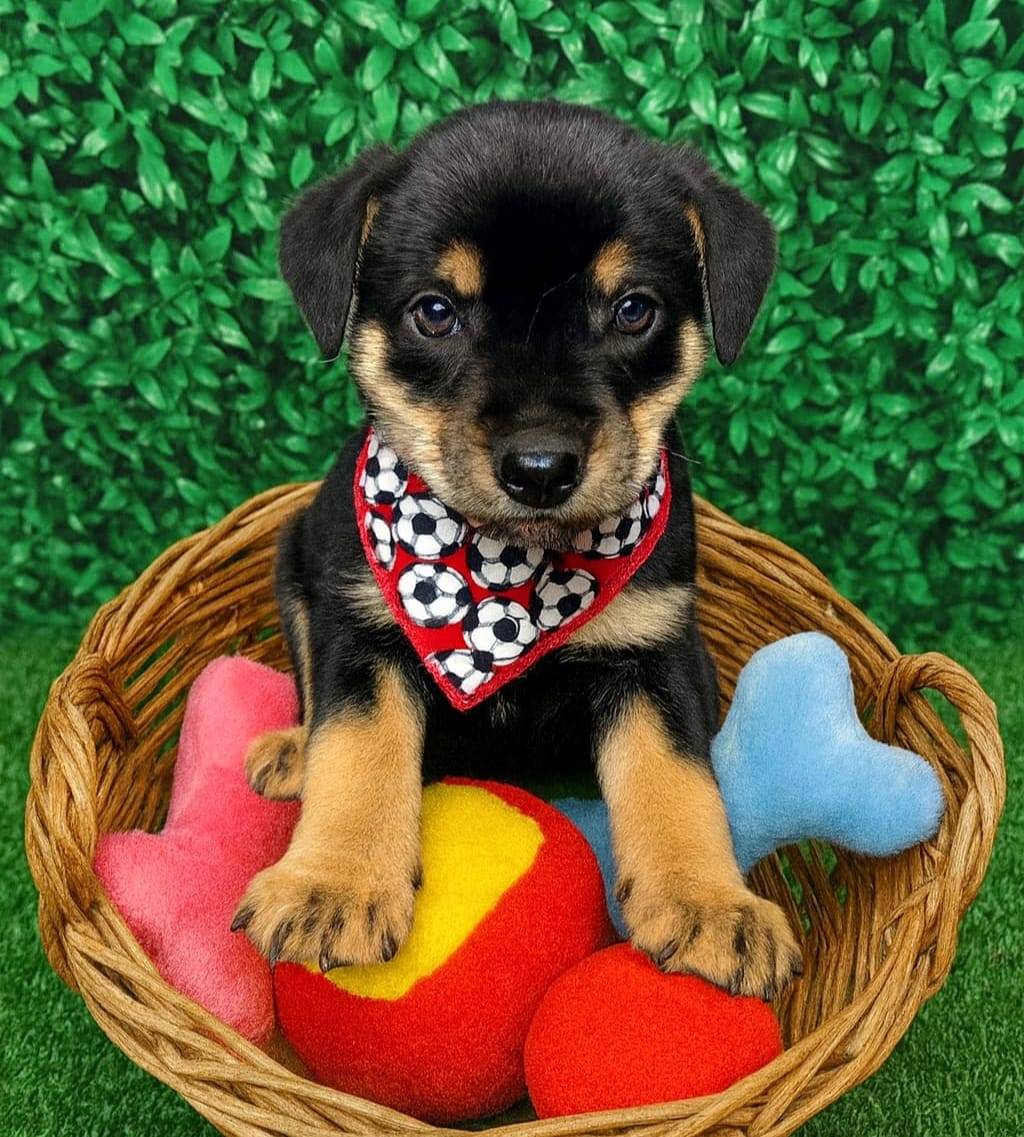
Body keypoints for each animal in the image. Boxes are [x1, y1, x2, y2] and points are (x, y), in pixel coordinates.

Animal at [232, 100, 803, 1000]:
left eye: (633, 308)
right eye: (435, 311)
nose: (541, 467)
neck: (508, 571)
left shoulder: (657, 651)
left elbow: (679, 781)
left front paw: (710, 904)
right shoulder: (358, 629)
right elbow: (356, 752)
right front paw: (335, 887)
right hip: (297, 560)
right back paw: (291, 749)